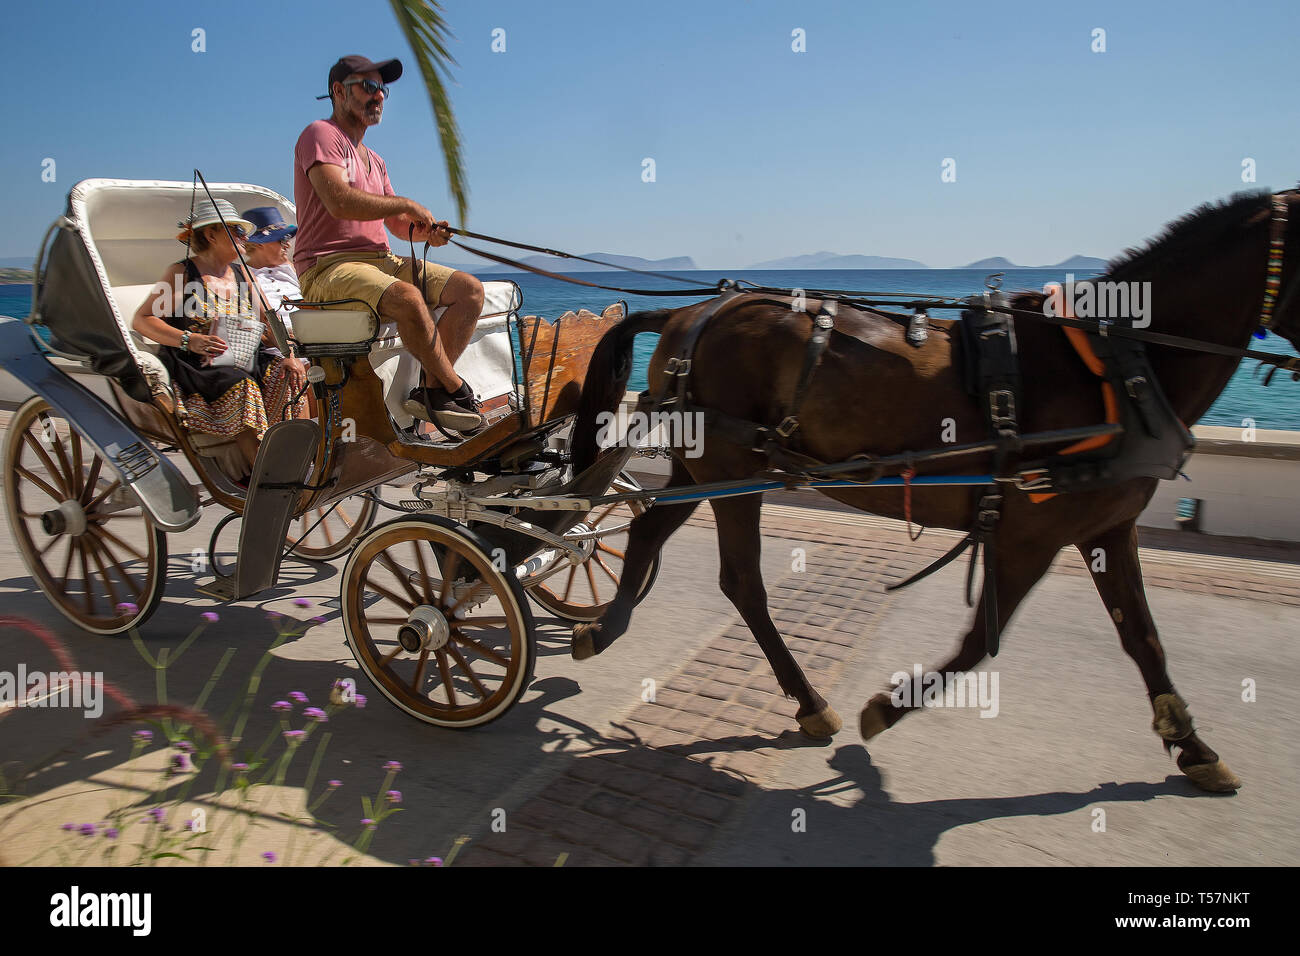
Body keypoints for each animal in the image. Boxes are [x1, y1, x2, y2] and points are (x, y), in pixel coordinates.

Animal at [566, 187, 1300, 790]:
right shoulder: (1030, 533)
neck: (1117, 369)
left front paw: (1194, 747)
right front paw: (888, 708)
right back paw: (807, 700)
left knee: (648, 529)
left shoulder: (1106, 527)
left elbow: (1143, 637)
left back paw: (607, 625)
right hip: (732, 470)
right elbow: (979, 642)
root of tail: (698, 310)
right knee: (741, 581)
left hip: (706, 468)